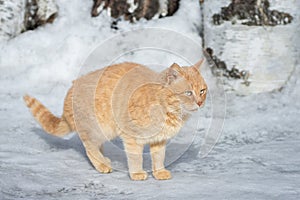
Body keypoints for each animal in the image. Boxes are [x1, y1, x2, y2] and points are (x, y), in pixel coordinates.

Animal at [23, 60, 207, 180]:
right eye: (188, 93)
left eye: (202, 91)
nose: (199, 102)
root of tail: (71, 90)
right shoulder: (131, 136)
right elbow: (135, 158)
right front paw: (137, 173)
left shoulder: (159, 140)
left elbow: (159, 157)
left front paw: (159, 172)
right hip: (99, 129)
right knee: (89, 147)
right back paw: (102, 165)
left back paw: (104, 159)